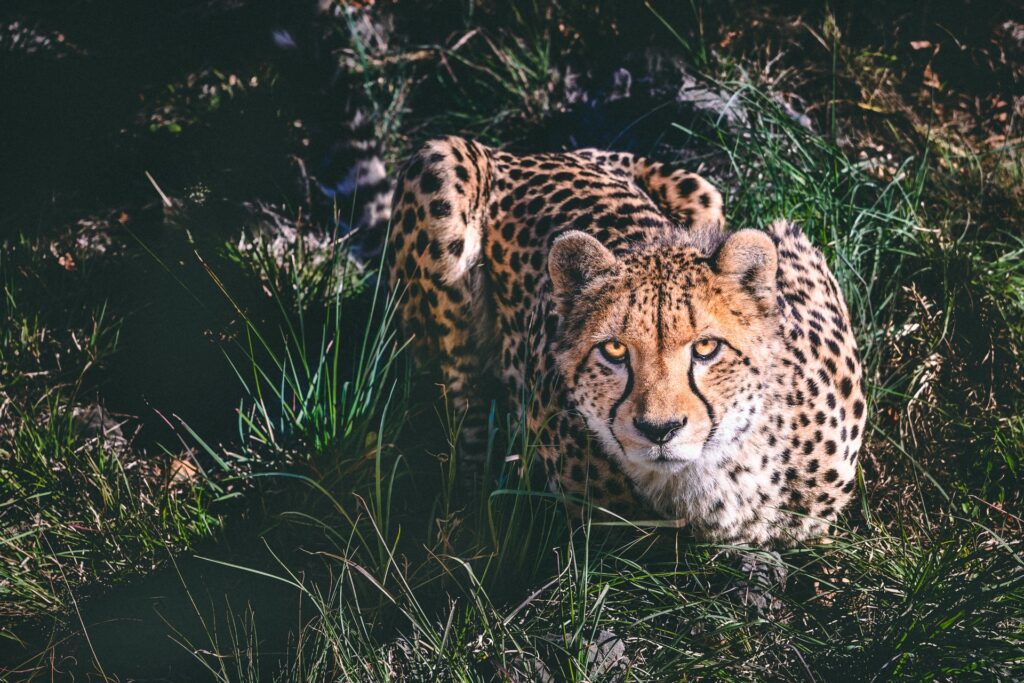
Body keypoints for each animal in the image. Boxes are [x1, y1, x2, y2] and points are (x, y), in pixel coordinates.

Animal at [385, 136, 864, 548]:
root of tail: (526, 154)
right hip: (441, 165)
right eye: (614, 349)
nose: (660, 429)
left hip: (703, 192)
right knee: (460, 400)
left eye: (706, 348)